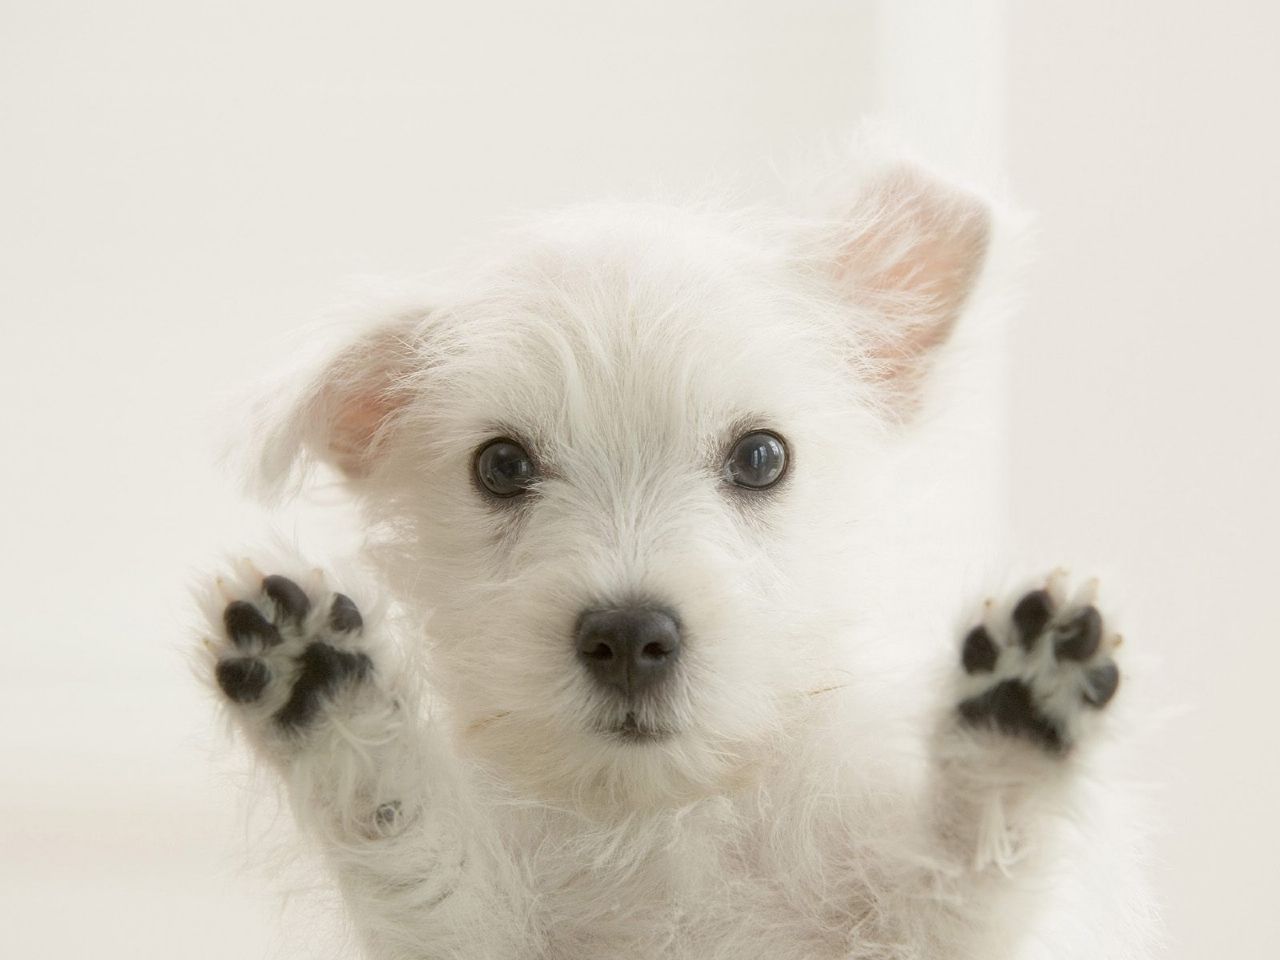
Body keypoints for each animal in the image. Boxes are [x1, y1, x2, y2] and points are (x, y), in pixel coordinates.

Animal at [199, 154, 1162, 957]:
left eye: (762, 457)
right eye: (501, 466)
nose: (630, 637)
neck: (667, 819)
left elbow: (962, 881)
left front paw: (1011, 727)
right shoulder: (473, 931)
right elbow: (417, 856)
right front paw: (334, 700)